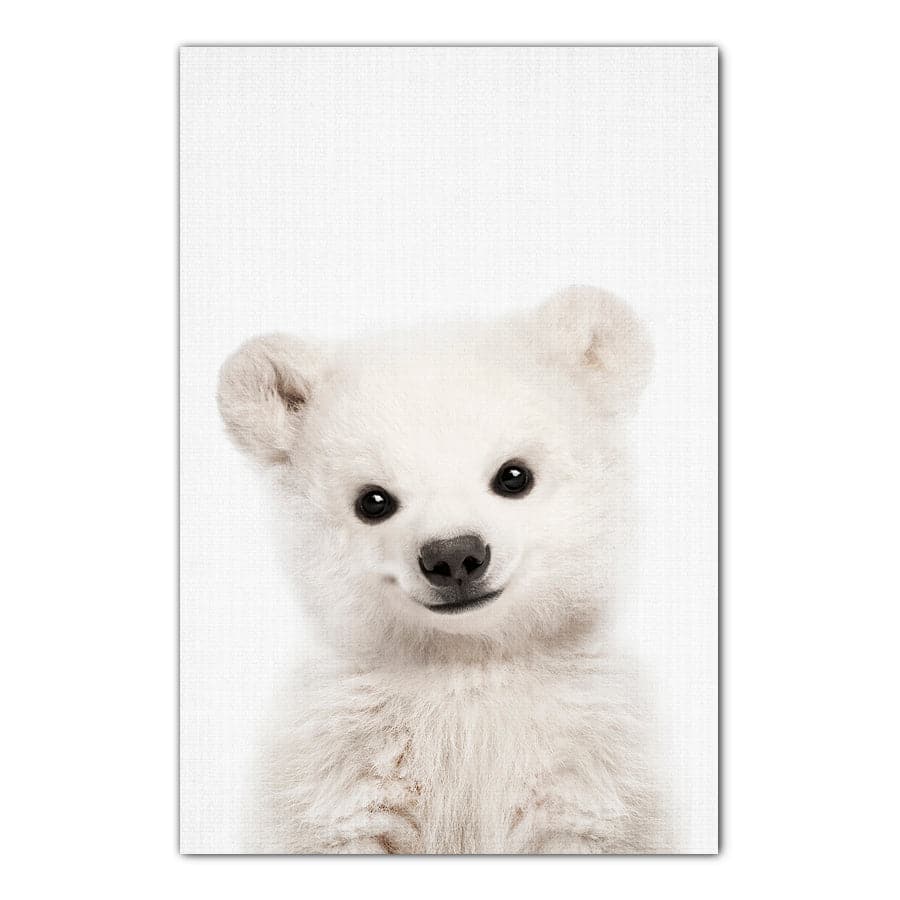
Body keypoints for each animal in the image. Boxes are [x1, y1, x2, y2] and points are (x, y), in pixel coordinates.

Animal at [216, 285, 670, 854]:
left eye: (514, 475)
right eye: (373, 500)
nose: (454, 555)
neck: (464, 663)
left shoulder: (587, 763)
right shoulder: (343, 766)